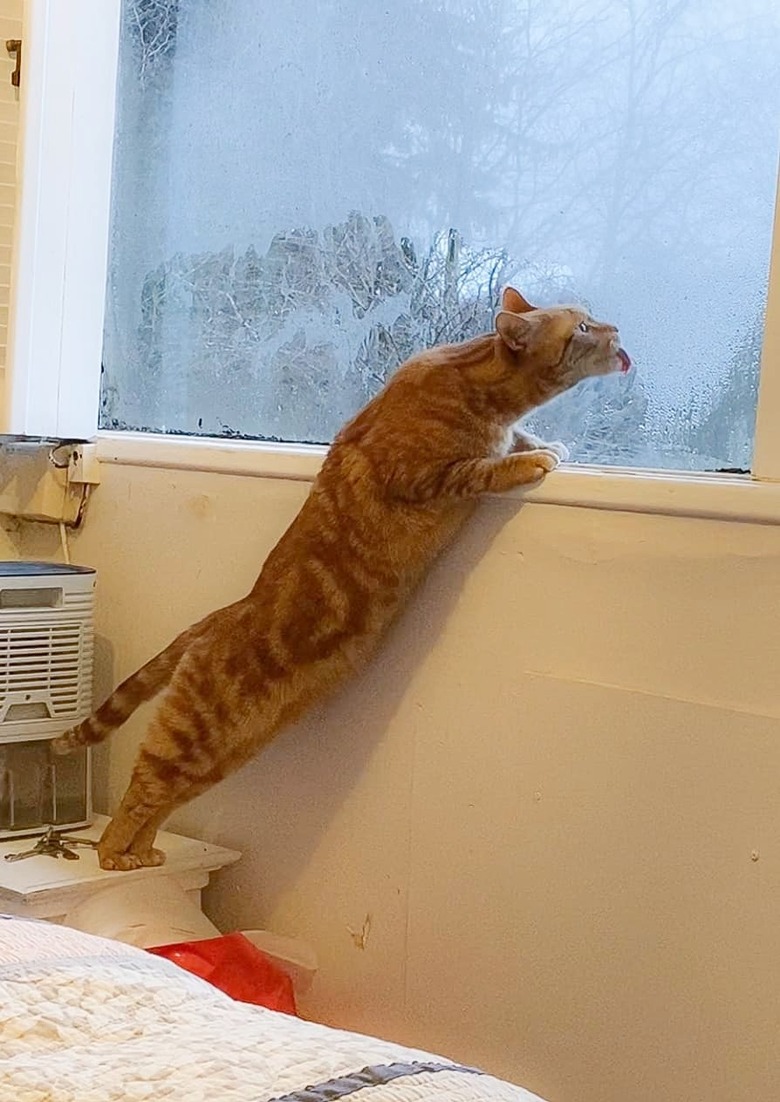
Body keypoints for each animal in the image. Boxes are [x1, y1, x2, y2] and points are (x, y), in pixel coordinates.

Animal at [53, 290, 625, 868]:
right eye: (582, 327)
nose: (616, 330)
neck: (471, 379)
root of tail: (224, 613)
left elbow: (513, 441)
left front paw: (538, 442)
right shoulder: (424, 477)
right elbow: (484, 468)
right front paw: (532, 458)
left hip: (226, 753)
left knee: (163, 800)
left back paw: (145, 853)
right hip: (193, 735)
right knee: (141, 790)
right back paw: (113, 856)